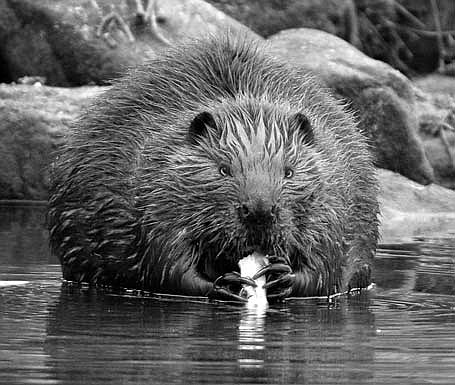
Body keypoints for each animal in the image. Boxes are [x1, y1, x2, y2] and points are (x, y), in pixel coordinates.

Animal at [47, 33, 382, 300]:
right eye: (224, 169)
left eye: (289, 171)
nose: (259, 210)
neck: (248, 115)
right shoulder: (155, 183)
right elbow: (164, 257)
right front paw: (225, 284)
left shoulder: (336, 193)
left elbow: (328, 262)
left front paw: (282, 277)